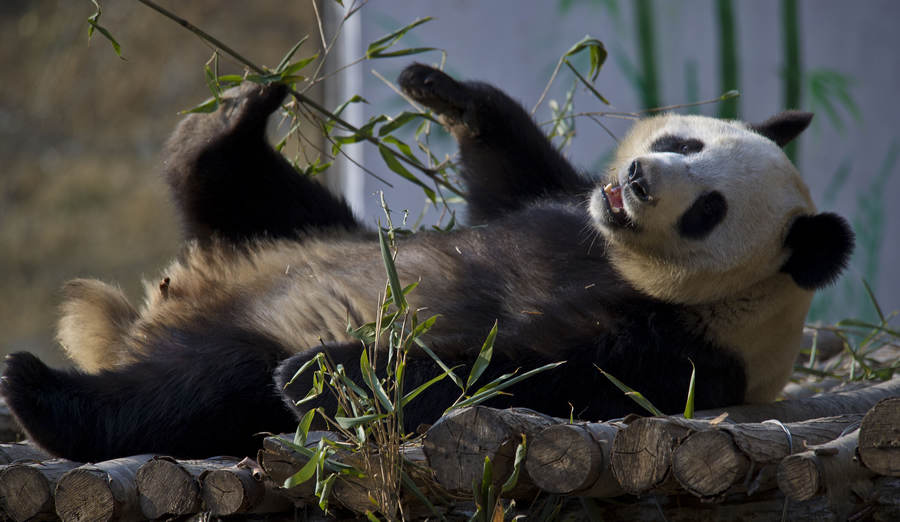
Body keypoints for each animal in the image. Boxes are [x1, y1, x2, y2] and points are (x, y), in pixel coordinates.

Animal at [3, 64, 856, 460]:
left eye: (709, 208)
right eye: (685, 141)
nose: (641, 181)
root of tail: (152, 315)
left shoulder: (668, 352)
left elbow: (498, 375)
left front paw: (328, 371)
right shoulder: (567, 210)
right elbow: (512, 179)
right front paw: (444, 92)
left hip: (231, 347)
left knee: (196, 389)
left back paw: (40, 391)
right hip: (300, 231)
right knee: (238, 186)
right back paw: (238, 114)